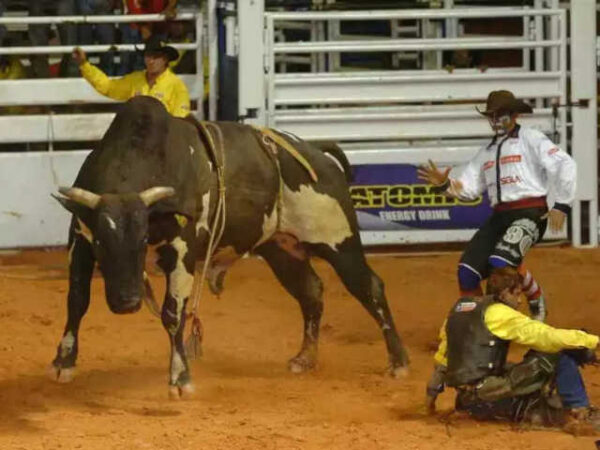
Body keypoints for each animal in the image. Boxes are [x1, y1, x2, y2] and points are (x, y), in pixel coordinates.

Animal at [51, 96, 410, 398]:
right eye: (101, 241)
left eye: (142, 240)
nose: (127, 302)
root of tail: (318, 155)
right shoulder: (79, 242)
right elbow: (77, 300)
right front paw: (64, 362)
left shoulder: (183, 251)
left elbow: (173, 314)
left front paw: (180, 378)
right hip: (282, 250)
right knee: (311, 292)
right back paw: (304, 358)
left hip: (339, 240)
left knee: (369, 287)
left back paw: (399, 362)